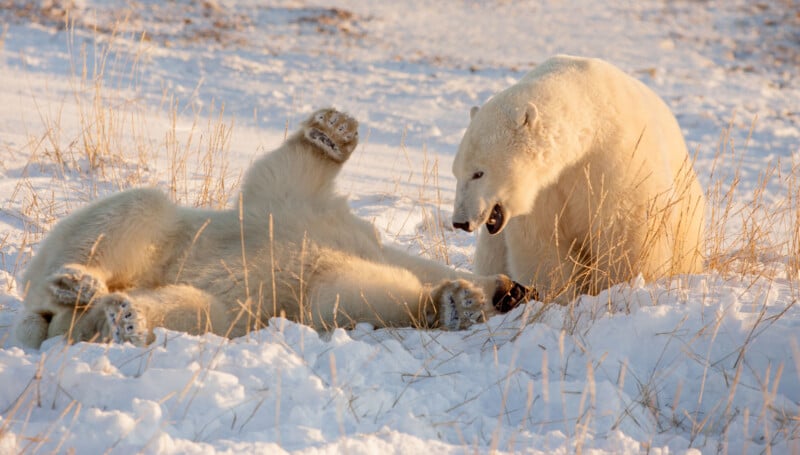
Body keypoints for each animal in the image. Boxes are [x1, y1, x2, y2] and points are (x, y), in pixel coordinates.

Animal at [15, 108, 528, 350]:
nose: (515, 289)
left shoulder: (319, 272)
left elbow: (340, 293)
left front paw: (457, 302)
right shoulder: (301, 213)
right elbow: (281, 176)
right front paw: (333, 130)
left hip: (229, 310)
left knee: (191, 311)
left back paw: (117, 317)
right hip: (164, 237)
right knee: (135, 212)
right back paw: (77, 283)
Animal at [454, 54, 704, 302]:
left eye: (478, 173)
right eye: (456, 172)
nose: (460, 221)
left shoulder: (616, 161)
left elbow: (626, 228)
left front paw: (620, 287)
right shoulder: (545, 189)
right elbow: (544, 242)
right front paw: (558, 295)